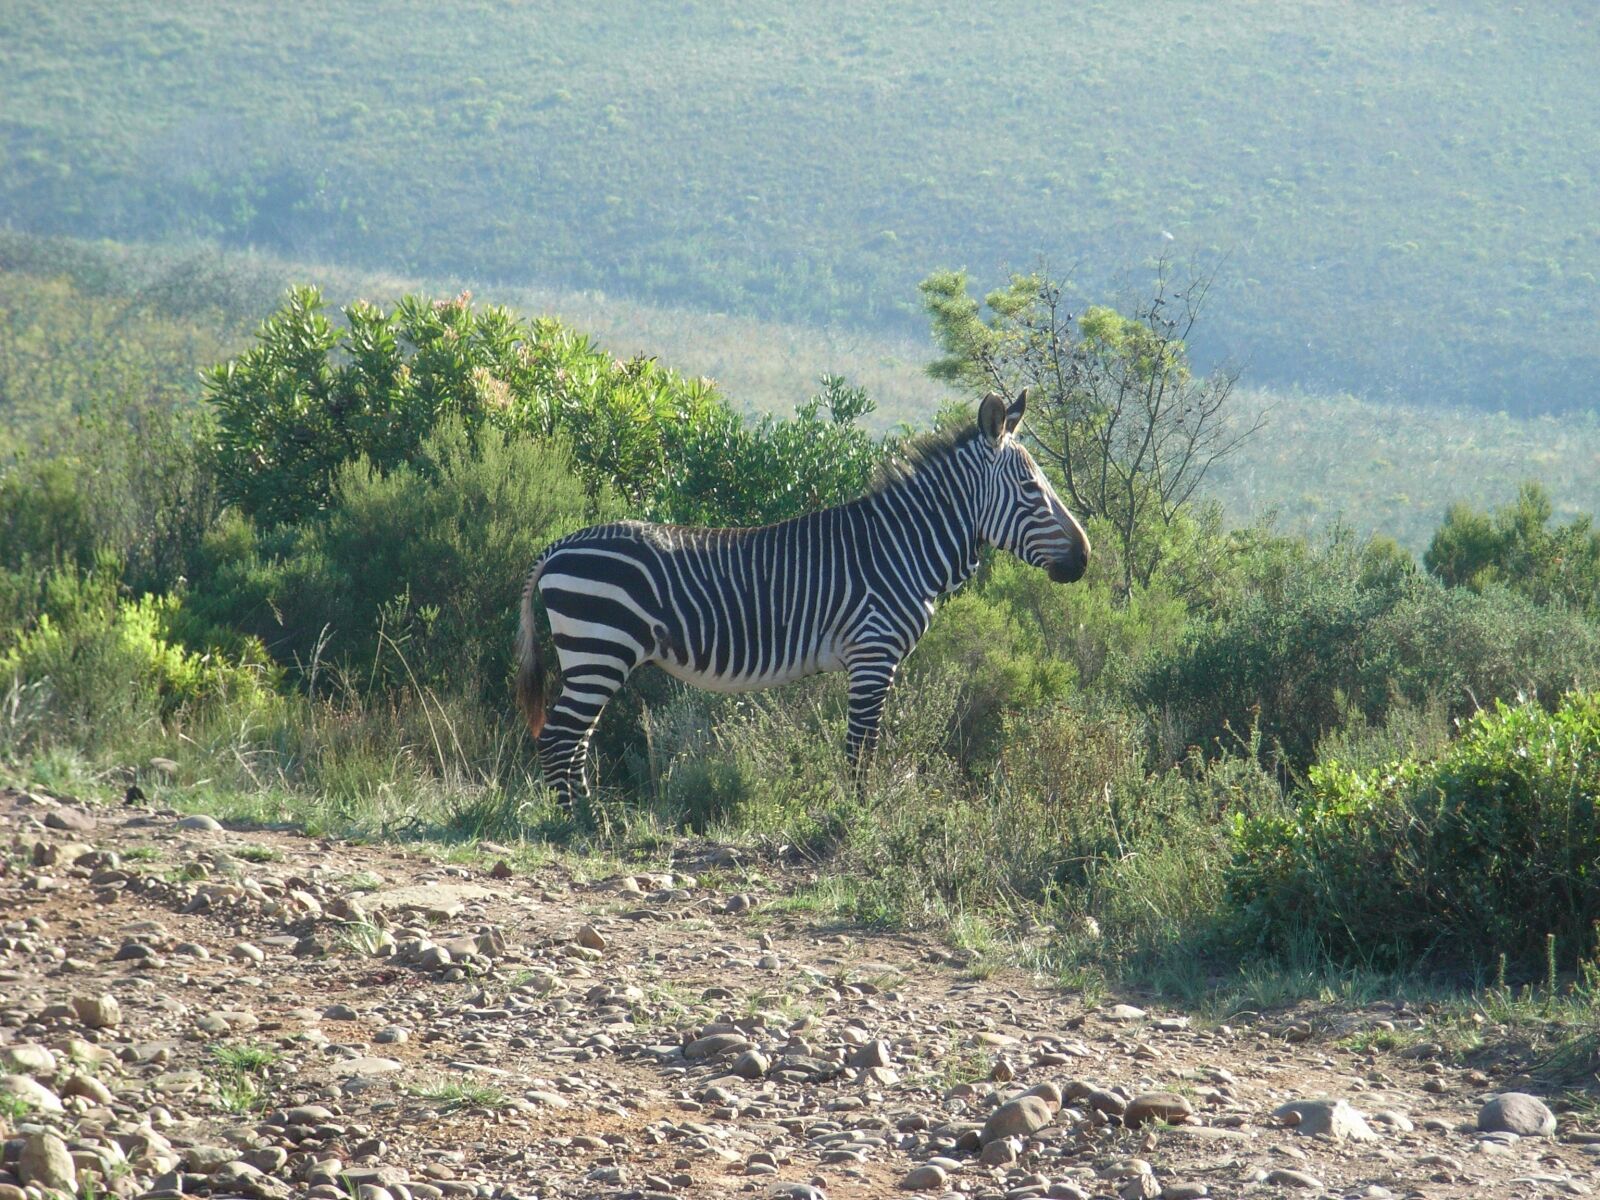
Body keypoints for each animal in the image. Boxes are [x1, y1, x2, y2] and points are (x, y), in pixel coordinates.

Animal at [515, 388, 1089, 808]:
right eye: (1032, 490)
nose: (1084, 558)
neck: (901, 545)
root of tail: (559, 546)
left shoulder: (873, 660)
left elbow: (861, 745)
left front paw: (858, 811)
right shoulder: (873, 654)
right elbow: (861, 746)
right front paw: (858, 816)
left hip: (596, 657)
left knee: (576, 739)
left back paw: (592, 815)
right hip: (599, 648)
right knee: (560, 736)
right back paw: (578, 824)